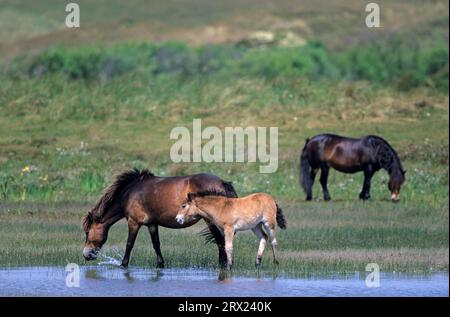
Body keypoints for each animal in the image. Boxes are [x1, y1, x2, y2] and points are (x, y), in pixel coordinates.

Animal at [84, 168, 239, 266]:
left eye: (86, 232)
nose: (86, 255)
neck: (129, 193)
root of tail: (222, 182)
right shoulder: (152, 224)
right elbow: (156, 244)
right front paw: (160, 264)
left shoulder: (133, 222)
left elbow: (129, 244)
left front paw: (123, 264)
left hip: (210, 221)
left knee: (220, 241)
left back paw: (222, 265)